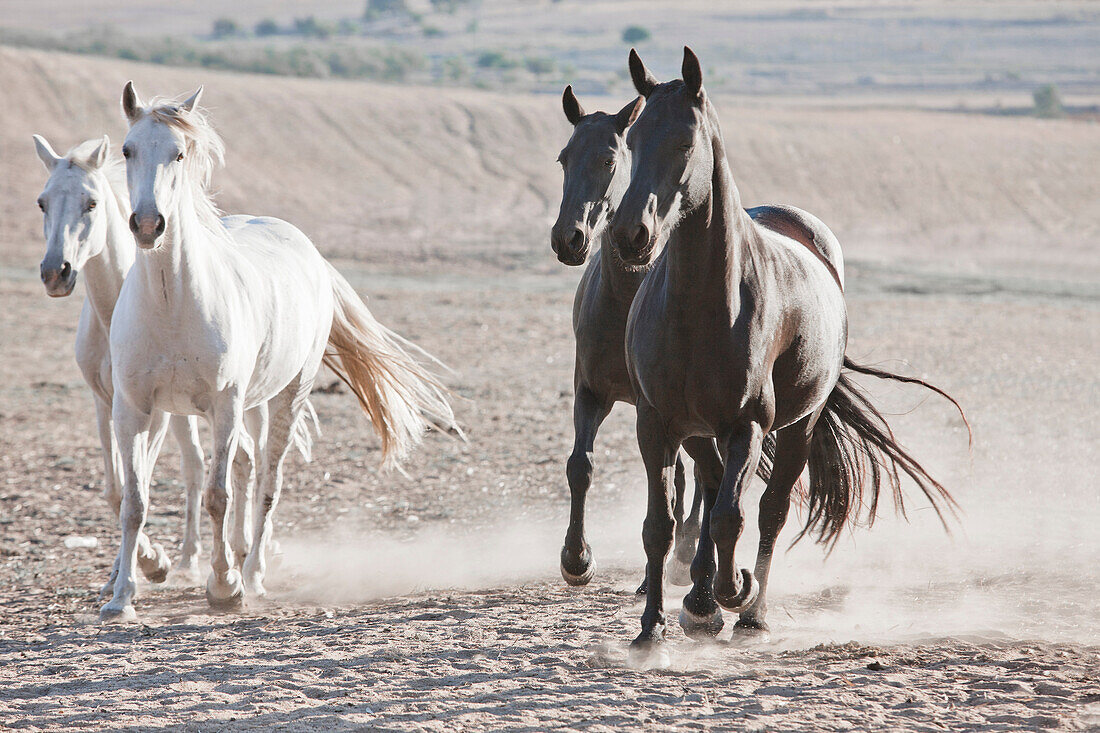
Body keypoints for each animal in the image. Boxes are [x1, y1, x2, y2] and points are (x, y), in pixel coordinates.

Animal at [103, 82, 459, 620]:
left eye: (179, 153)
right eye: (127, 150)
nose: (148, 224)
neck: (171, 303)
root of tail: (307, 249)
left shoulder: (224, 404)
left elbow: (218, 495)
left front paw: (223, 587)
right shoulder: (134, 409)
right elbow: (134, 501)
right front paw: (122, 597)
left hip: (286, 396)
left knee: (267, 481)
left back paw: (252, 574)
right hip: (251, 404)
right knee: (248, 468)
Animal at [607, 47, 968, 651]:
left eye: (685, 141)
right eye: (632, 140)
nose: (630, 234)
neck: (701, 307)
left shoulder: (748, 425)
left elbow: (733, 516)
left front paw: (734, 591)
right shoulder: (657, 423)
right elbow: (659, 525)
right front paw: (652, 628)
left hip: (799, 425)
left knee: (768, 509)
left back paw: (748, 612)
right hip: (702, 432)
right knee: (712, 489)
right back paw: (699, 603)